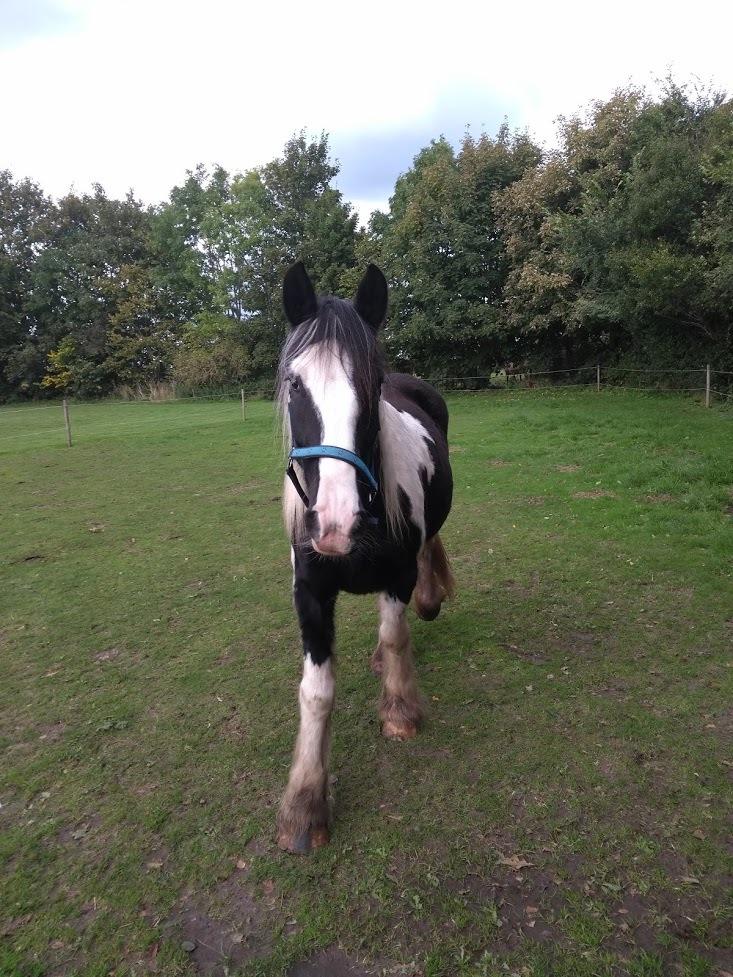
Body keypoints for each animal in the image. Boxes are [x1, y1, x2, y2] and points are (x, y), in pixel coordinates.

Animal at [278, 264, 454, 852]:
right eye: (294, 383)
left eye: (372, 384)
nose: (335, 521)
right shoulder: (310, 595)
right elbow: (315, 693)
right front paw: (305, 805)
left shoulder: (397, 574)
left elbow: (397, 632)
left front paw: (400, 712)